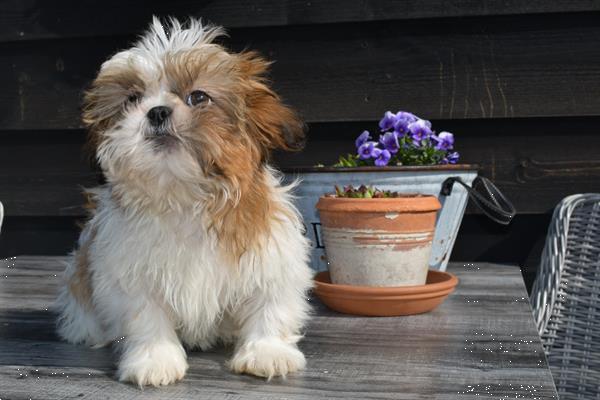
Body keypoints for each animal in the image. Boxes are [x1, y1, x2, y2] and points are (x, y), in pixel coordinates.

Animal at [55, 17, 314, 386]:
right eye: (132, 98)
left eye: (199, 97)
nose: (157, 112)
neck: (182, 194)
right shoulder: (129, 272)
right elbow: (146, 316)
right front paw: (155, 359)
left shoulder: (271, 257)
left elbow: (271, 304)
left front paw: (267, 352)